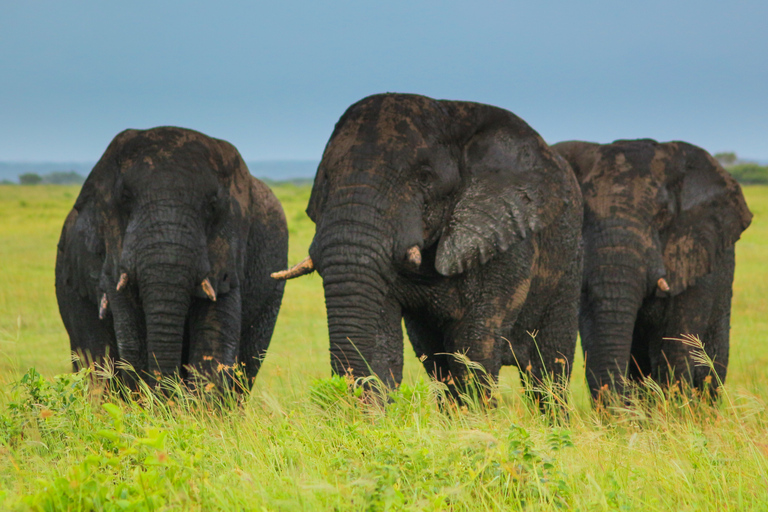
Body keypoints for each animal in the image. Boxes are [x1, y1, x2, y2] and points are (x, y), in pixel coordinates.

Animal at [272, 93, 584, 400]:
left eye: (424, 178)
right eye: (325, 179)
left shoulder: (503, 232)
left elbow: (474, 347)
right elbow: (382, 345)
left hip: (568, 262)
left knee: (548, 369)